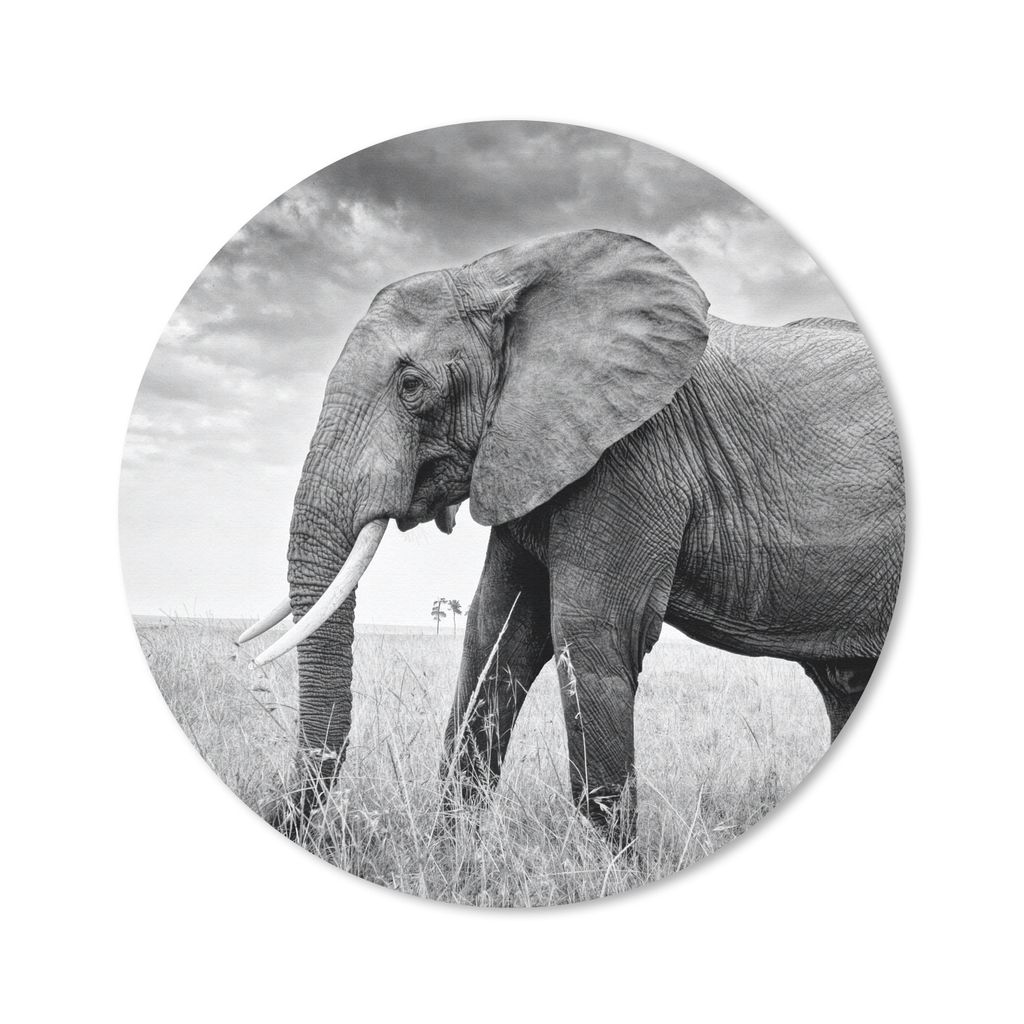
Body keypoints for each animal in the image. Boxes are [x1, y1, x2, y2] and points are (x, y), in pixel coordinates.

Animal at [239, 229, 905, 847]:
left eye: (410, 385)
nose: (283, 818)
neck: (502, 277)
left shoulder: (631, 453)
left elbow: (589, 630)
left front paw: (619, 870)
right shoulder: (526, 450)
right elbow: (496, 632)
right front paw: (453, 855)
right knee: (844, 683)